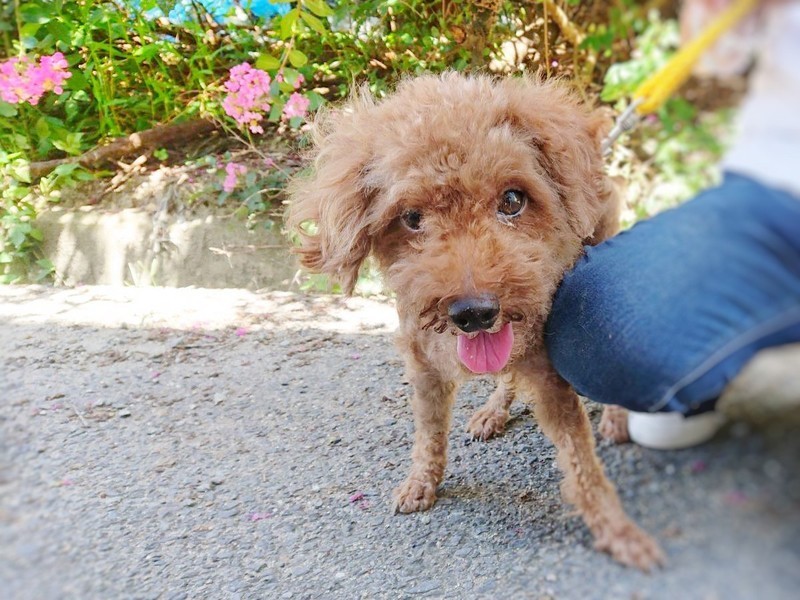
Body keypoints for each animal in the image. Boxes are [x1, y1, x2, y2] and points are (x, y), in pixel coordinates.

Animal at [287, 73, 664, 570]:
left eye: (512, 199)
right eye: (411, 218)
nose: (473, 313)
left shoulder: (549, 375)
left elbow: (581, 464)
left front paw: (617, 531)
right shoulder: (425, 369)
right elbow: (428, 435)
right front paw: (420, 483)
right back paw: (493, 411)